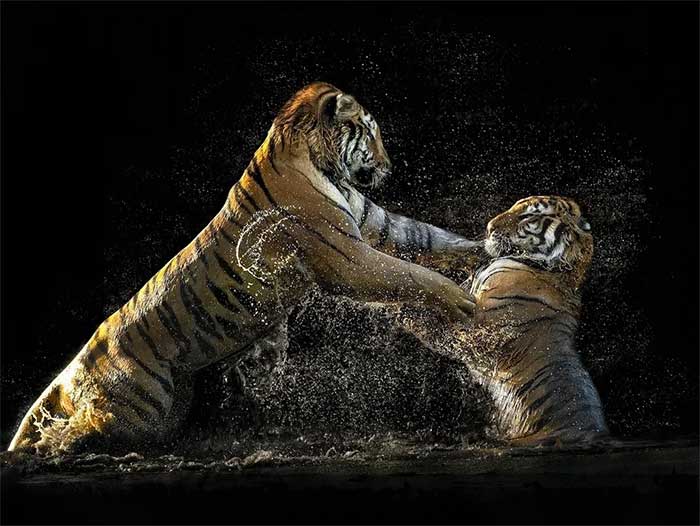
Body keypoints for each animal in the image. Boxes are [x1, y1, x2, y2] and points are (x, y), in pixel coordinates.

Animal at [8, 80, 482, 456]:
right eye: (371, 132)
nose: (388, 166)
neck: (319, 160)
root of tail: (79, 361)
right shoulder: (346, 256)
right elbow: (408, 273)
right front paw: (461, 300)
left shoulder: (375, 223)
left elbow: (427, 236)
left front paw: (484, 245)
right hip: (136, 411)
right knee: (79, 430)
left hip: (166, 409)